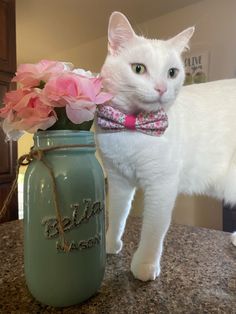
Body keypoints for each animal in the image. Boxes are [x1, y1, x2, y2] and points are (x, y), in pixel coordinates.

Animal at [95, 11, 236, 282]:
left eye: (172, 72)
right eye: (138, 69)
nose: (162, 88)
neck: (133, 127)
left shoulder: (161, 186)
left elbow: (152, 230)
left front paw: (144, 266)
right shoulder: (118, 182)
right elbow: (117, 216)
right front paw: (109, 244)